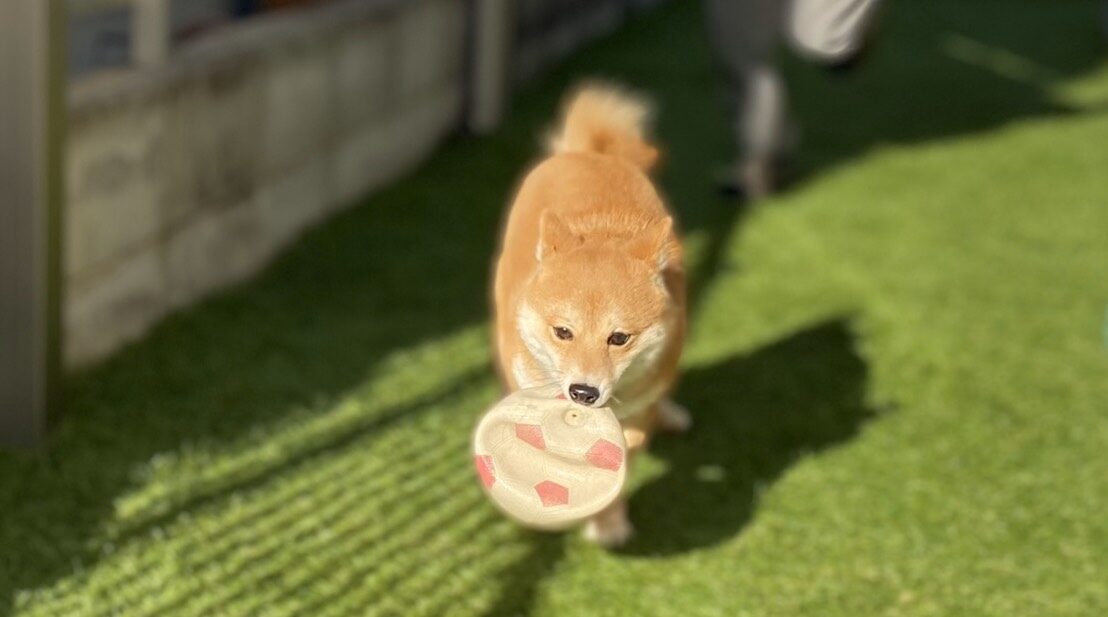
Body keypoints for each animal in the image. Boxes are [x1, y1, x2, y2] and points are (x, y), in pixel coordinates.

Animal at [491, 83, 682, 542]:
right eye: (563, 332)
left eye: (619, 338)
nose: (583, 393)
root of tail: (586, 153)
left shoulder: (634, 414)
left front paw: (608, 523)